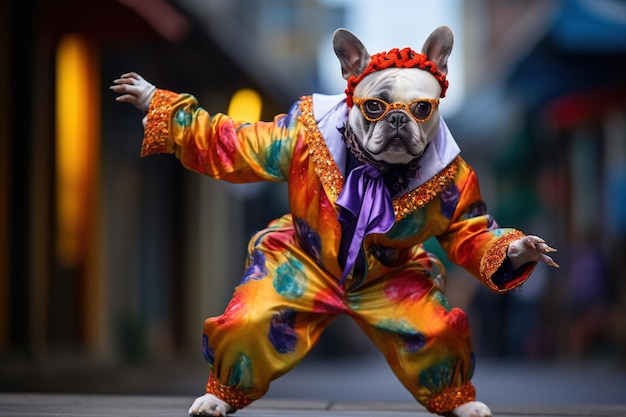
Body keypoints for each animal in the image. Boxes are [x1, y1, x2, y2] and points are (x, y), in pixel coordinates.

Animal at [111, 25, 556, 416]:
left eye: (422, 108)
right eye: (374, 105)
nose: (398, 119)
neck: (377, 170)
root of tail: (342, 302)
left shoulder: (461, 186)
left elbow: (473, 236)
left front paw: (520, 250)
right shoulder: (286, 136)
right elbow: (230, 141)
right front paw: (149, 98)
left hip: (408, 304)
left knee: (437, 338)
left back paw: (462, 402)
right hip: (286, 278)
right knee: (246, 328)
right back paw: (216, 398)